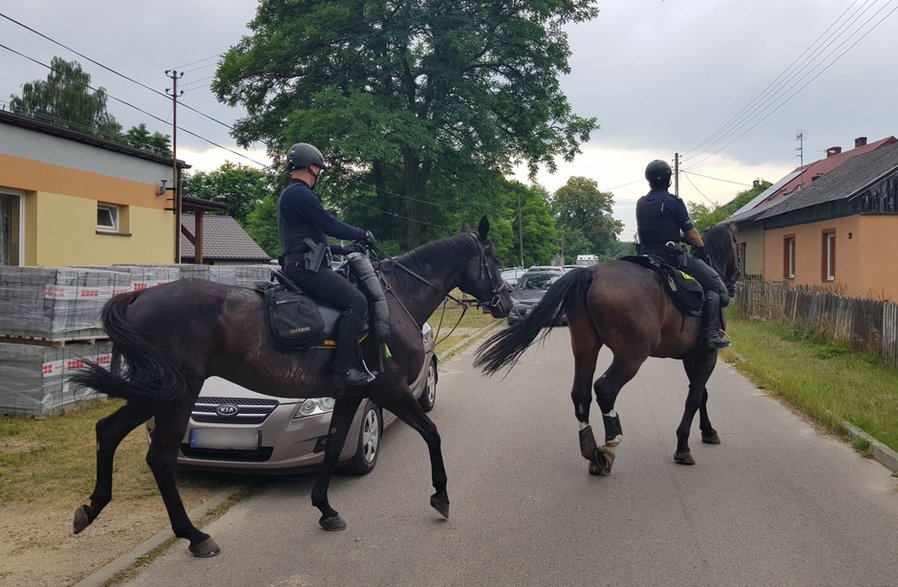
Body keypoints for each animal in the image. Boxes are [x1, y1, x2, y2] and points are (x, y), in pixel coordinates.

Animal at [70, 218, 512, 560]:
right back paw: (194, 536)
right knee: (160, 458)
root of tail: (138, 299)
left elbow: (333, 447)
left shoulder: (351, 394)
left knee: (108, 431)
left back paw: (92, 509)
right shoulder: (391, 390)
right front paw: (441, 496)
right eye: (493, 259)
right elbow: (432, 434)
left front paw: (325, 509)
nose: (506, 303)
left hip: (157, 392)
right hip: (178, 394)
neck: (395, 299)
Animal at [472, 223, 740, 476]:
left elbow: (701, 393)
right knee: (605, 389)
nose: (735, 280)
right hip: (631, 356)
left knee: (581, 395)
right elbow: (694, 396)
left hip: (585, 347)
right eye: (737, 245)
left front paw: (708, 431)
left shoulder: (692, 356)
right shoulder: (707, 354)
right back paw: (610, 445)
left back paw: (592, 452)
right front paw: (683, 445)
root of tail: (590, 273)